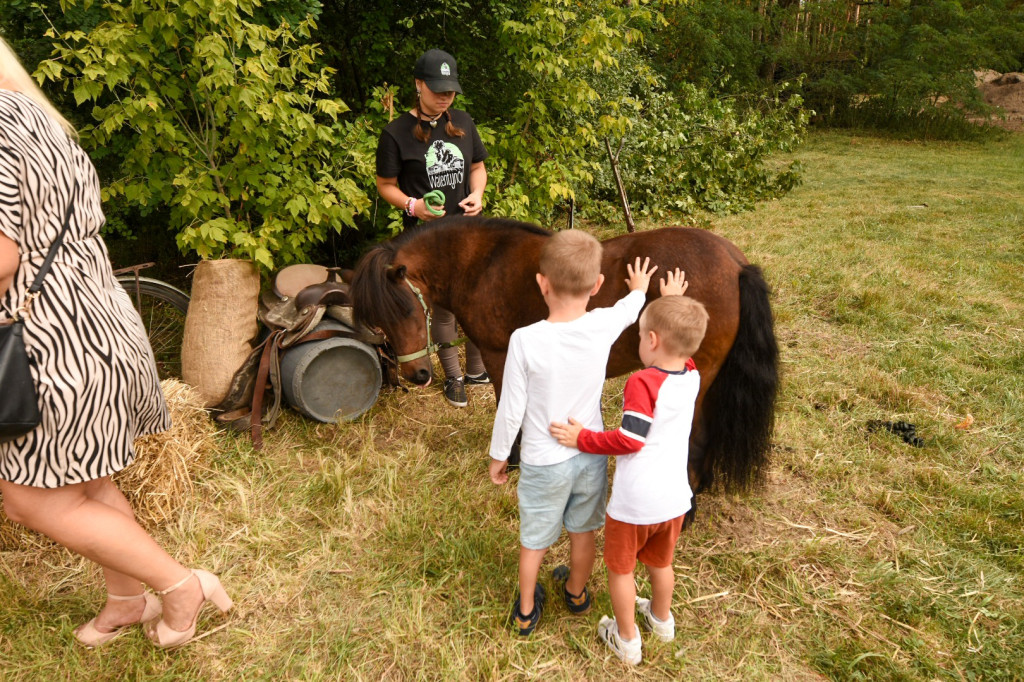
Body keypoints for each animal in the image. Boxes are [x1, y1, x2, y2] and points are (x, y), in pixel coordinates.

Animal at [352, 215, 774, 491]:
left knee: (696, 439)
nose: (417, 375)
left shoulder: (499, 356)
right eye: (378, 319)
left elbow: (508, 409)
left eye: (405, 310)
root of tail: (736, 264)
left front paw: (512, 460)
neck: (482, 262)